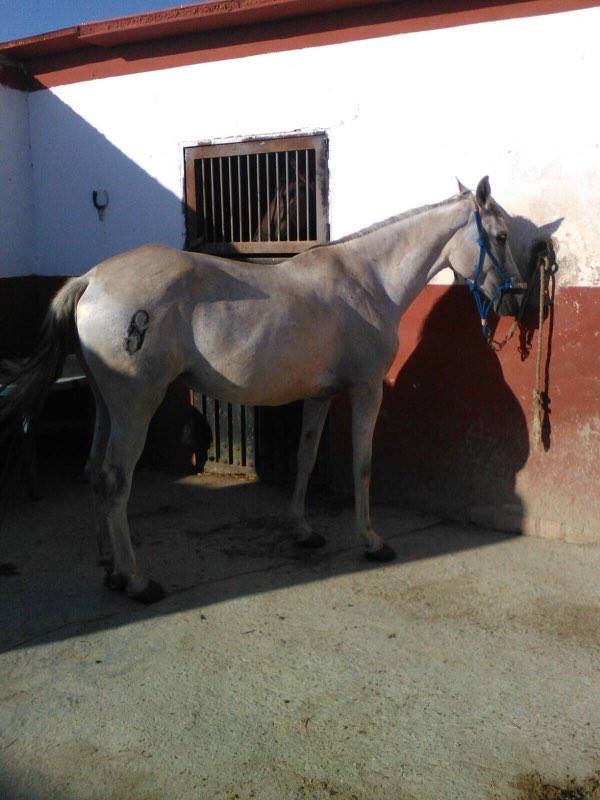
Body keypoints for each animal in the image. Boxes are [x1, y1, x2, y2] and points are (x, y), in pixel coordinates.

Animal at [0, 176, 523, 603]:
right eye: (500, 236)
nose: (515, 298)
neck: (368, 280)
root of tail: (90, 279)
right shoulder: (366, 391)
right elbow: (363, 465)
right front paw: (372, 541)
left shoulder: (320, 396)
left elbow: (305, 458)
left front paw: (303, 530)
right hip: (135, 407)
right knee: (114, 479)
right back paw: (136, 580)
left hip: (106, 405)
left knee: (93, 470)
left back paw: (110, 568)